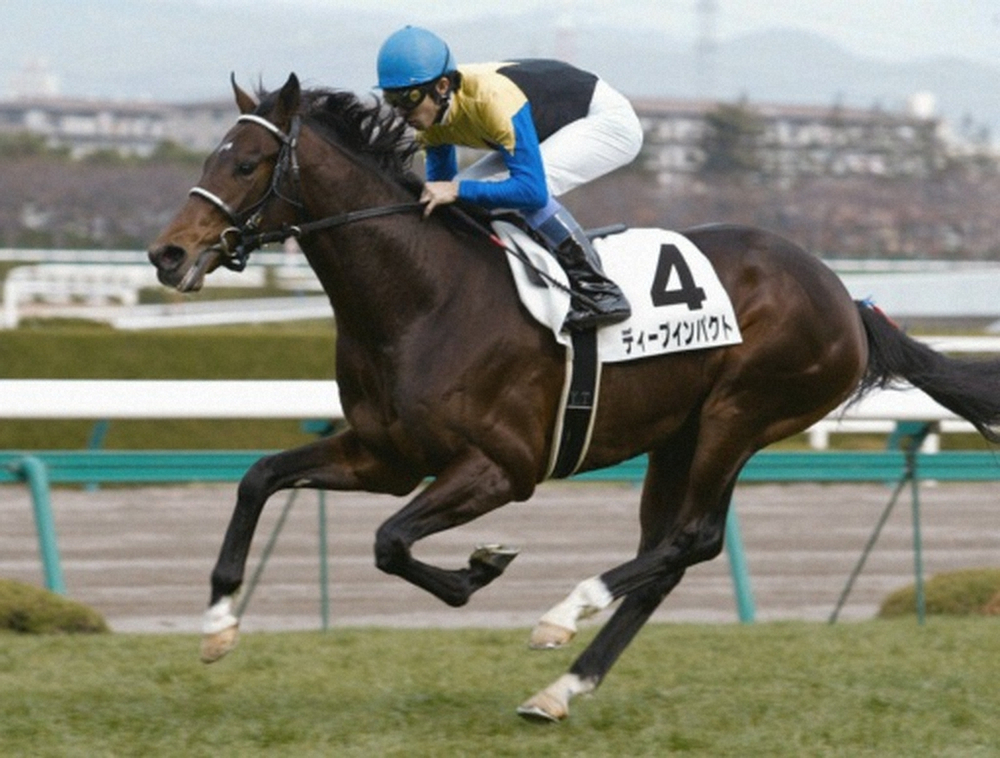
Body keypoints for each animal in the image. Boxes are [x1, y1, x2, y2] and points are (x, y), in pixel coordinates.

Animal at [148, 73, 1000, 722]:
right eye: (213, 153)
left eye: (251, 162)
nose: (167, 254)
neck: (423, 296)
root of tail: (846, 298)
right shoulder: (383, 454)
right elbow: (261, 477)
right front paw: (218, 623)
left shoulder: (502, 468)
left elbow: (390, 541)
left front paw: (480, 569)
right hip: (681, 435)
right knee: (673, 552)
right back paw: (561, 689)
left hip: (740, 415)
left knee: (690, 539)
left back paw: (563, 616)